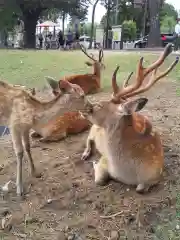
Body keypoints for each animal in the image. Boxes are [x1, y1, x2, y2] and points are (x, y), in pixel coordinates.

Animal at [80, 43, 179, 193]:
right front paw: (94, 162)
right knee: (88, 139)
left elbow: (140, 188)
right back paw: (85, 154)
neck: (126, 172)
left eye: (99, 105)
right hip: (93, 129)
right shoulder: (105, 159)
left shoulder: (154, 175)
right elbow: (100, 179)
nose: (83, 109)